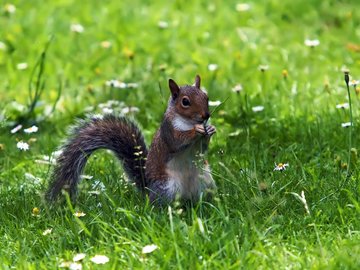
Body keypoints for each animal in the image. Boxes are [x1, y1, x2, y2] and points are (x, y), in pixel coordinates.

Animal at [47, 74, 217, 205]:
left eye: (206, 97)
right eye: (185, 102)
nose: (206, 115)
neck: (188, 122)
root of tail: (148, 190)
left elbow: (203, 148)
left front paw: (210, 129)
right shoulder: (168, 131)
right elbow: (177, 142)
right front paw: (197, 131)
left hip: (206, 181)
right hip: (167, 187)